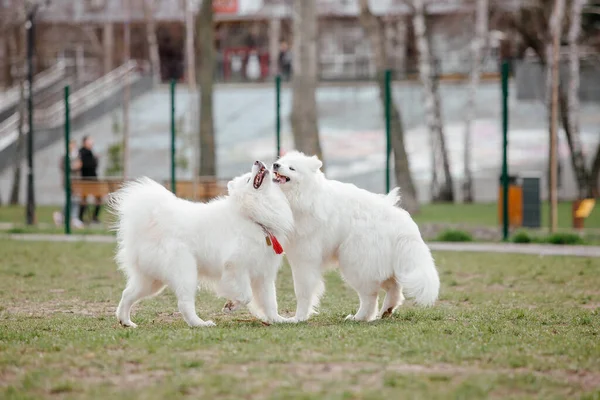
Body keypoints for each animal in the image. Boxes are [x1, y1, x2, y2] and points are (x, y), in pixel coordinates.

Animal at [110, 161, 296, 326]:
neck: (252, 216)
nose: (258, 161)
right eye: (248, 179)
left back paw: (125, 321)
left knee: (127, 294)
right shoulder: (236, 267)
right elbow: (246, 295)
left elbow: (270, 302)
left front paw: (279, 320)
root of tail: (152, 222)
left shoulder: (264, 275)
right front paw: (230, 306)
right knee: (184, 304)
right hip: (185, 272)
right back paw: (200, 324)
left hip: (151, 281)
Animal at [274, 150, 440, 322]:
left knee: (370, 297)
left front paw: (298, 318)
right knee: (393, 288)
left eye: (292, 168)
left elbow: (303, 292)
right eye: (282, 162)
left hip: (354, 264)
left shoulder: (305, 258)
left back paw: (358, 317)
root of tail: (401, 222)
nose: (275, 165)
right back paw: (386, 310)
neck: (305, 195)